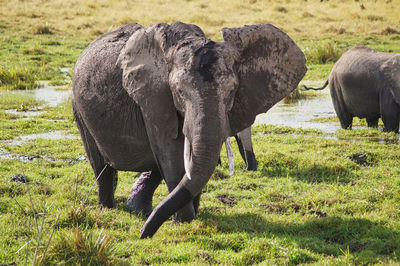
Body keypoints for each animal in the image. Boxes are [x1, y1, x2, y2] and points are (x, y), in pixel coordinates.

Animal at [72, 20, 306, 238]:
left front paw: (190, 219)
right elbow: (172, 155)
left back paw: (140, 210)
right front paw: (185, 222)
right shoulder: (154, 98)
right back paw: (108, 209)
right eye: (180, 92)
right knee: (101, 166)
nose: (142, 234)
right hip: (79, 109)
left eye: (231, 91)